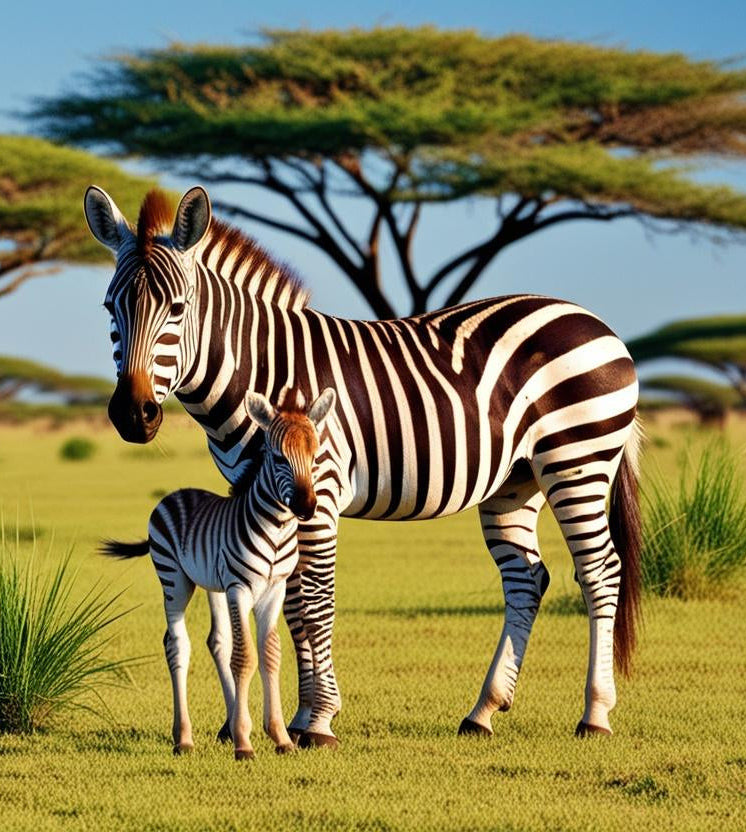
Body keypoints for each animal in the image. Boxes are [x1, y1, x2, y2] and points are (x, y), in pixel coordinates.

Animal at [100, 387, 337, 758]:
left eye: (314, 457)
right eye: (278, 458)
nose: (306, 507)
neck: (276, 529)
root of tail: (176, 494)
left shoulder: (274, 589)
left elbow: (269, 655)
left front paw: (280, 738)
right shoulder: (240, 587)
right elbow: (245, 658)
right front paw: (244, 744)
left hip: (212, 585)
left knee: (217, 642)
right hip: (174, 579)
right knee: (176, 644)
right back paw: (183, 738)